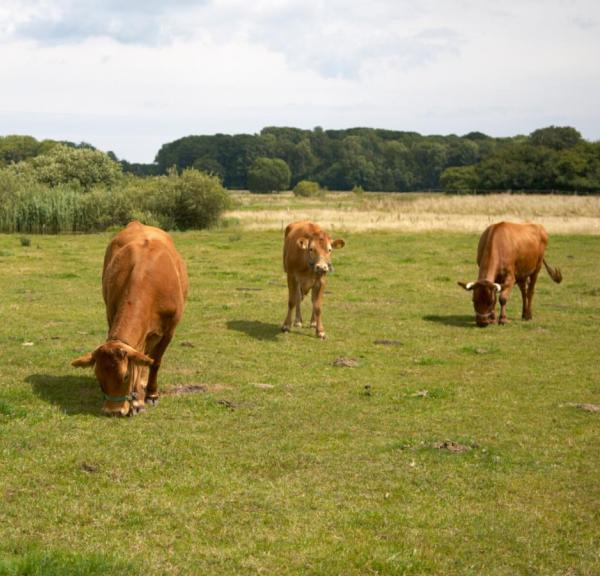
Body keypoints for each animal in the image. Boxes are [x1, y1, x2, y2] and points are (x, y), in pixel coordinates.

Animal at [71, 220, 188, 414]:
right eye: (98, 377)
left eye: (125, 376)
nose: (113, 411)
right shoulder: (111, 315)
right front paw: (137, 399)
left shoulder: (169, 330)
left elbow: (155, 362)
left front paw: (151, 394)